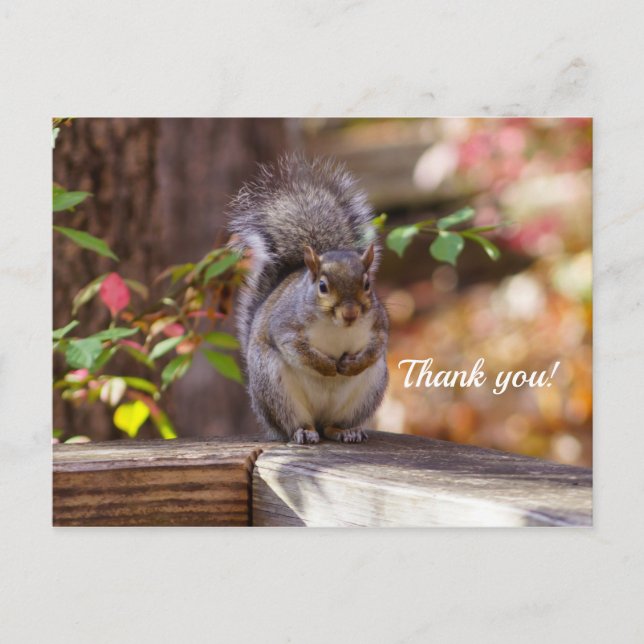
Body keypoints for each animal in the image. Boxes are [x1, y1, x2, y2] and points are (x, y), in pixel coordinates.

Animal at [228, 155, 388, 444]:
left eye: (367, 284)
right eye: (322, 286)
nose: (350, 313)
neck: (337, 327)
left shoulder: (379, 324)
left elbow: (377, 347)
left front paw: (352, 364)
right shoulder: (285, 324)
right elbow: (295, 347)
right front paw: (327, 366)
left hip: (367, 391)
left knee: (332, 426)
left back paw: (346, 431)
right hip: (275, 389)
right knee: (296, 423)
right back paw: (303, 432)